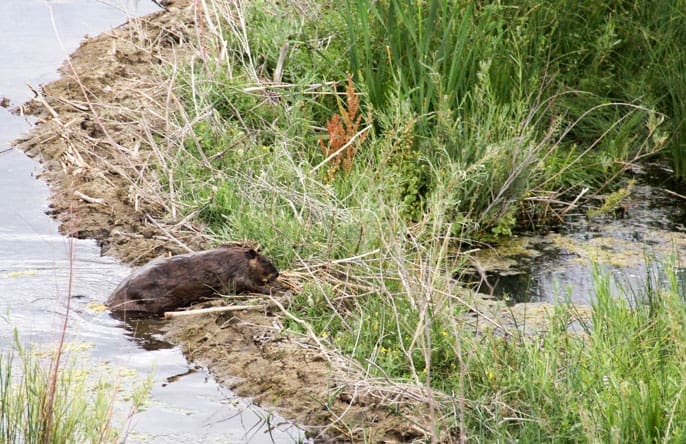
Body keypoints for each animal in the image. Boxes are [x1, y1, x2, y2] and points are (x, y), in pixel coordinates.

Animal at [107, 246, 280, 316]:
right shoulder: (238, 272)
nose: (277, 274)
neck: (240, 258)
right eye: (267, 261)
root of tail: (110, 302)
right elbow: (248, 284)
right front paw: (270, 290)